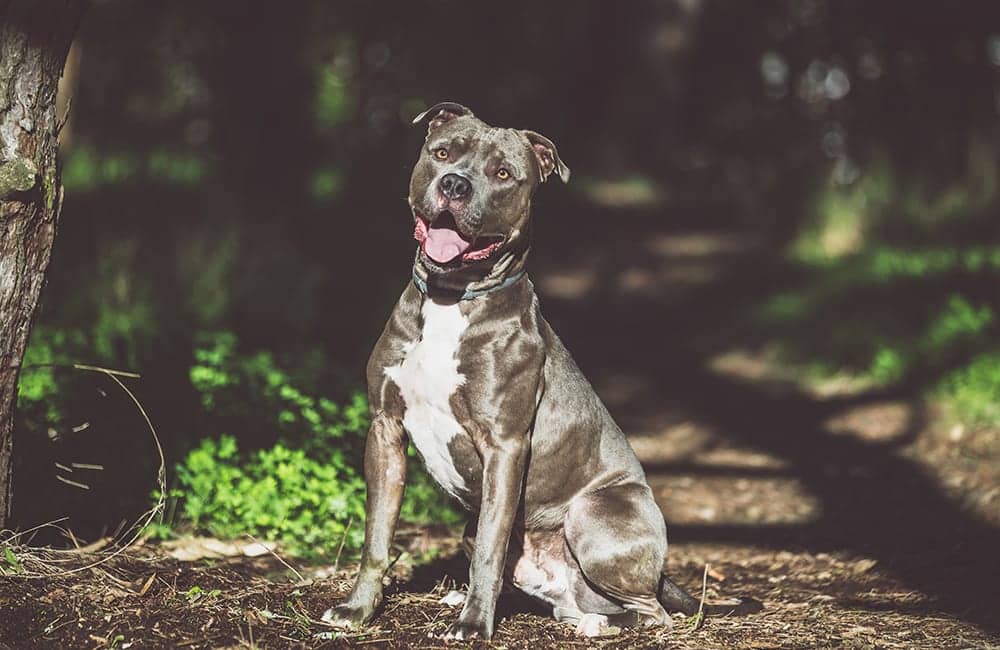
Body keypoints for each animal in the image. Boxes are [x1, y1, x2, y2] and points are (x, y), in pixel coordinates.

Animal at [324, 102, 748, 636]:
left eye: (503, 174)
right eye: (442, 153)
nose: (455, 184)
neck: (451, 298)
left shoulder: (504, 445)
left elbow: (490, 546)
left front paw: (474, 625)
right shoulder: (385, 428)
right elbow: (377, 536)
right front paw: (358, 609)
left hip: (593, 513)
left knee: (654, 612)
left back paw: (600, 624)